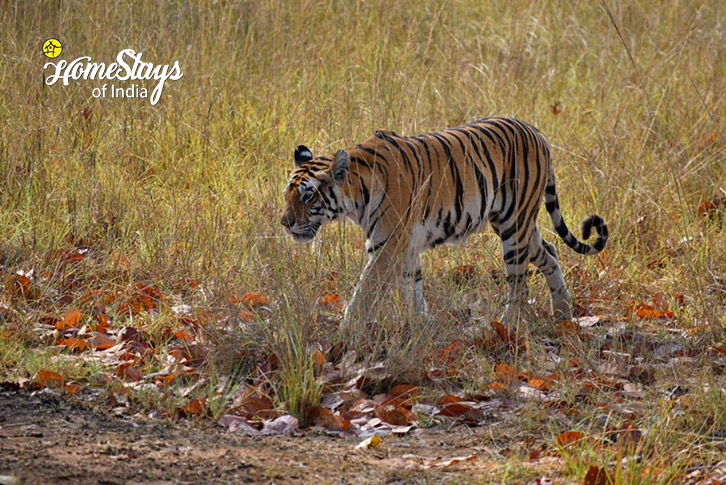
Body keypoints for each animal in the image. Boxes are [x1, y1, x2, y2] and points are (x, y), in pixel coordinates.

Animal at [282, 115, 612, 324]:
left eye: (308, 197)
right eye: (288, 194)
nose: (285, 223)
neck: (355, 192)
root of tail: (537, 132)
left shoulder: (386, 246)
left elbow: (365, 292)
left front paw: (347, 329)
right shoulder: (407, 245)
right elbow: (413, 289)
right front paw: (419, 326)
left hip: (514, 225)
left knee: (518, 285)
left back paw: (509, 325)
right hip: (514, 222)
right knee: (550, 252)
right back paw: (563, 312)